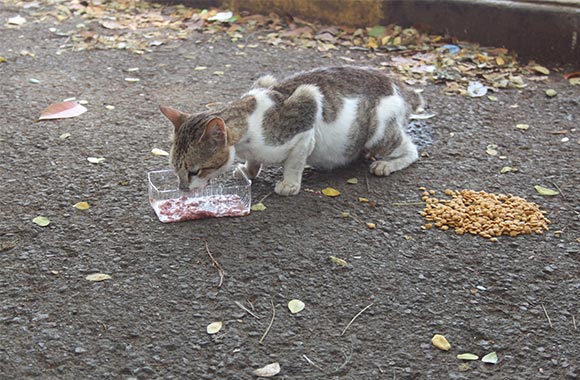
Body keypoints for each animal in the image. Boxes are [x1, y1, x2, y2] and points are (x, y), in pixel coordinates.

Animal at [159, 65, 422, 196]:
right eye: (175, 170)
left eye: (194, 171)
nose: (182, 189)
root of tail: (400, 85)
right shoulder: (266, 80)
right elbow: (253, 162)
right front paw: (249, 170)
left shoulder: (307, 111)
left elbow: (294, 162)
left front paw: (289, 184)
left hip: (378, 131)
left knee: (411, 149)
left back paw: (387, 164)